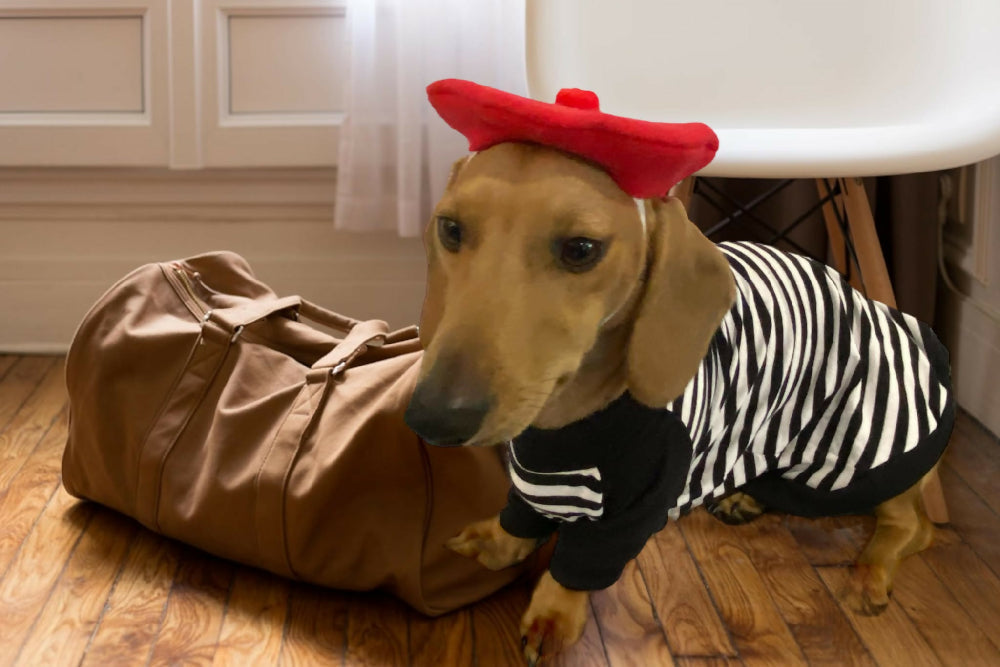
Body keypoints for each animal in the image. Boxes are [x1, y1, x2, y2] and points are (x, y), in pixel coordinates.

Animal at [404, 144, 952, 664]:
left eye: (581, 249)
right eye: (450, 229)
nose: (432, 417)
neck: (568, 419)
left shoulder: (635, 505)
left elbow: (581, 564)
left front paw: (553, 616)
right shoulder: (534, 476)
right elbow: (521, 514)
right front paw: (500, 542)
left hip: (853, 465)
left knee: (913, 525)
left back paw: (871, 573)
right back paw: (745, 497)